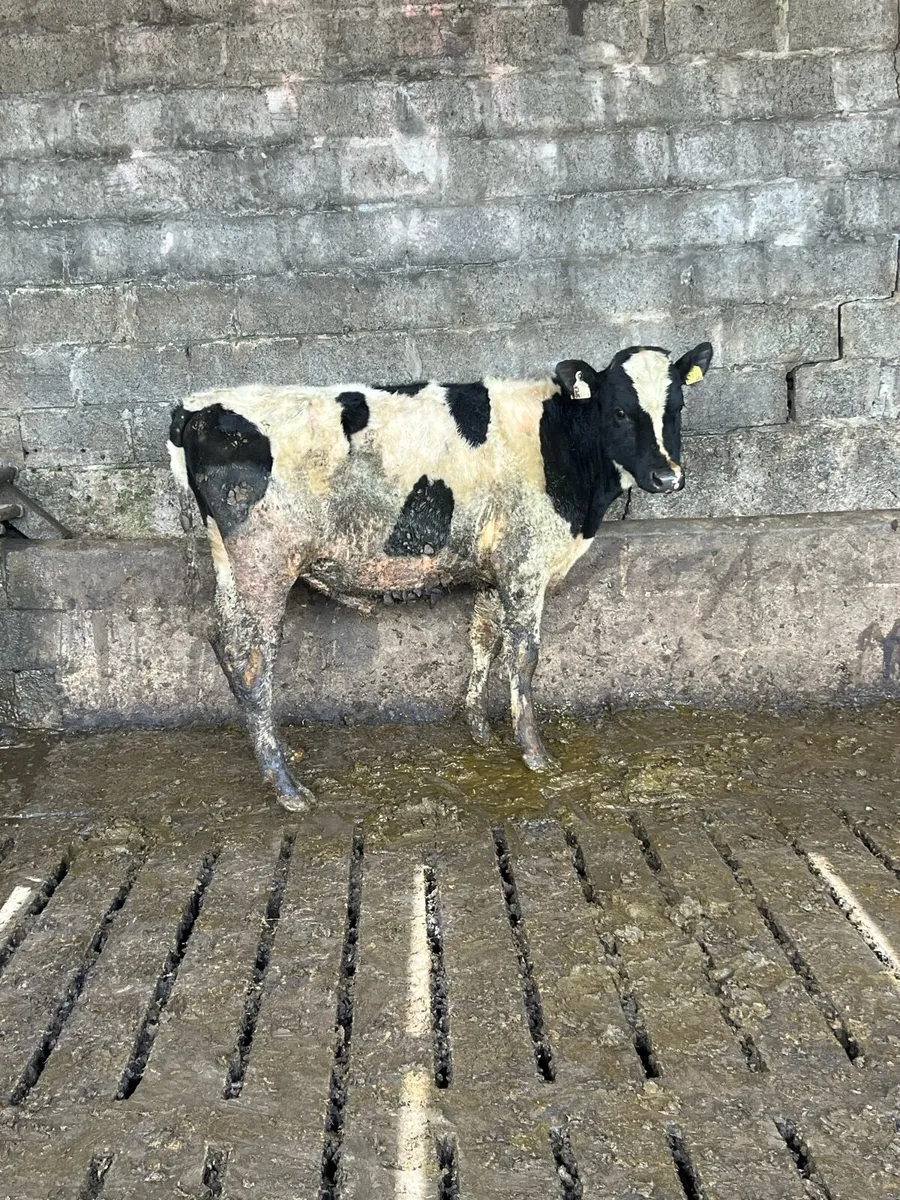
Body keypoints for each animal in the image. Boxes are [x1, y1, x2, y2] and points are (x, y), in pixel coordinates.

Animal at [168, 342, 713, 811]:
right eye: (620, 411)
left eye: (677, 406)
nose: (668, 476)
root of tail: (195, 408)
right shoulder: (525, 564)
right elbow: (524, 658)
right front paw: (534, 753)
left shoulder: (495, 569)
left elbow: (484, 639)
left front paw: (480, 731)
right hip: (263, 563)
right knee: (252, 660)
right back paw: (286, 787)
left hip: (233, 564)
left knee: (222, 641)